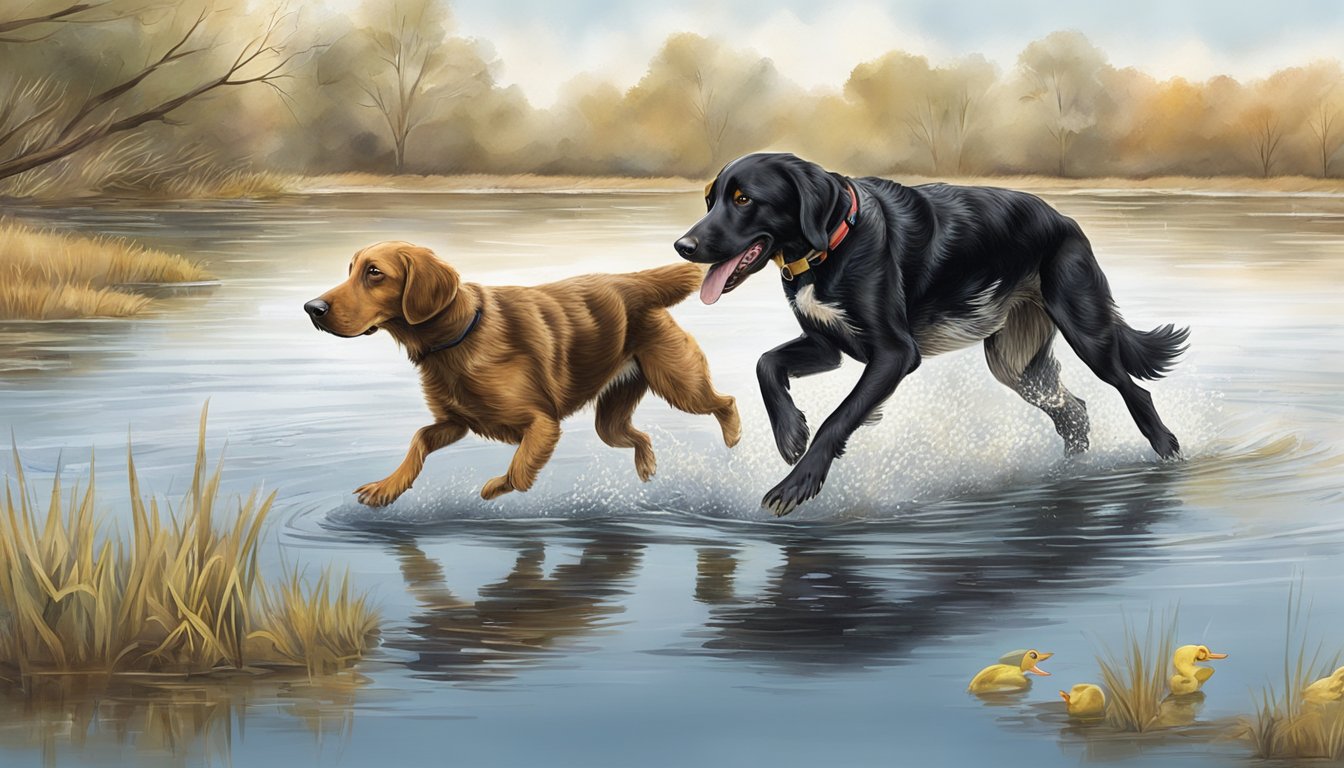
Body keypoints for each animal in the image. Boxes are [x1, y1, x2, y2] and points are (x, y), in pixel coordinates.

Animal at [305, 240, 741, 505]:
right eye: (351, 269)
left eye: (374, 272)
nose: (312, 308)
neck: (459, 336)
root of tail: (633, 282)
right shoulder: (454, 422)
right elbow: (418, 440)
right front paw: (388, 486)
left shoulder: (542, 423)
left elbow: (517, 472)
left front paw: (492, 489)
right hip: (610, 418)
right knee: (640, 435)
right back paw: (647, 465)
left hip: (680, 383)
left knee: (726, 401)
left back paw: (734, 436)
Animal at [672, 151, 1188, 516]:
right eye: (710, 200)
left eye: (744, 199)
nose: (683, 245)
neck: (836, 240)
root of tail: (1065, 220)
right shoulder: (827, 346)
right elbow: (766, 363)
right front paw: (789, 432)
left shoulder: (894, 354)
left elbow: (838, 419)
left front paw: (797, 483)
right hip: (1014, 365)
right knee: (1073, 410)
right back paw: (1069, 473)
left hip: (1084, 331)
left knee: (1133, 391)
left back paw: (1167, 452)